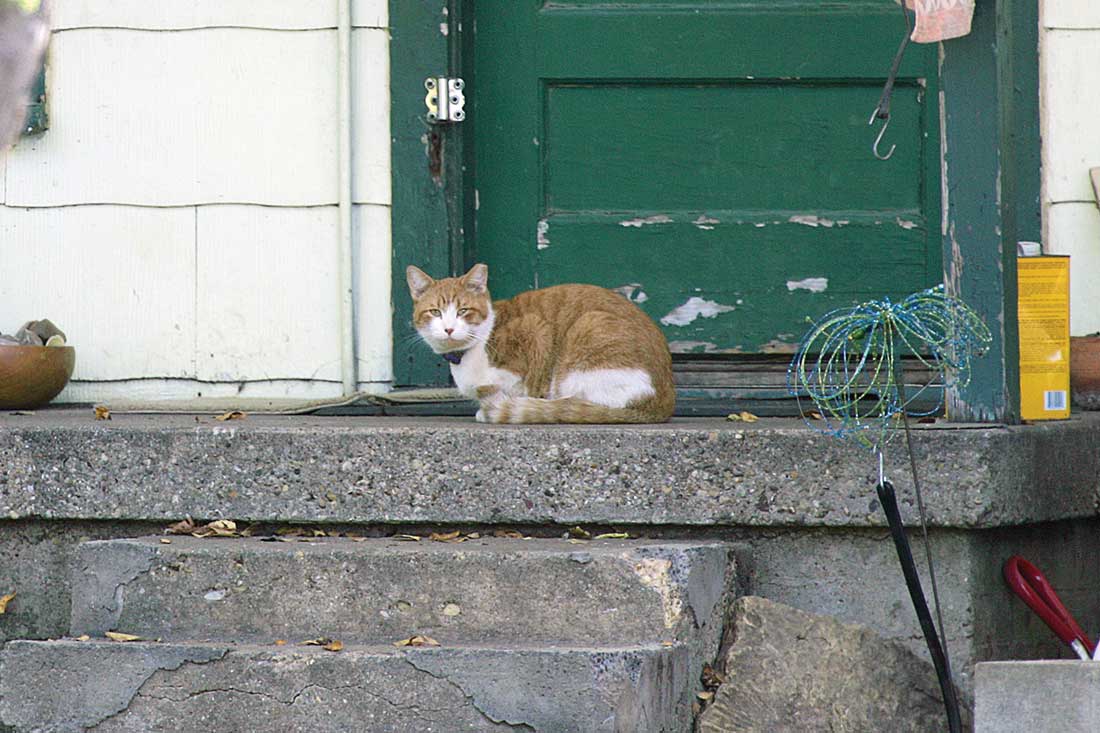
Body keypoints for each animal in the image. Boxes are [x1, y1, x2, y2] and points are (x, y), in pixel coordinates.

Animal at [409, 263, 673, 422]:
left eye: (463, 310)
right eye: (435, 312)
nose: (449, 329)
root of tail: (663, 401)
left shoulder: (536, 330)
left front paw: (491, 409)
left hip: (586, 332)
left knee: (575, 403)